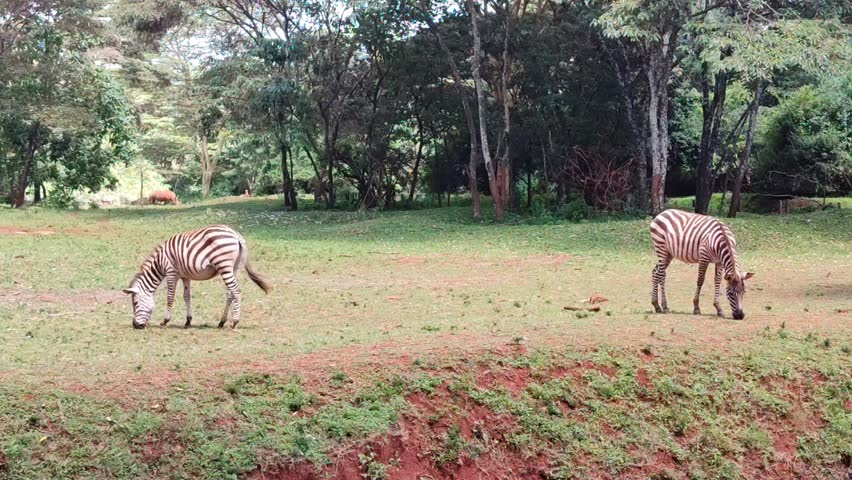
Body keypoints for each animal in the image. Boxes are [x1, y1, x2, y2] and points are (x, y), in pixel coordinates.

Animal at [122, 225, 271, 329]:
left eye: (135, 303)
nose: (135, 325)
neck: (160, 263)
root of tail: (236, 235)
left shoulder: (171, 273)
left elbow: (170, 297)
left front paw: (165, 321)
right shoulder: (185, 276)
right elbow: (186, 296)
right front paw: (188, 321)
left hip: (224, 266)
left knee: (236, 291)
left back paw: (234, 322)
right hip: (234, 268)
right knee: (230, 293)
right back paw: (221, 322)